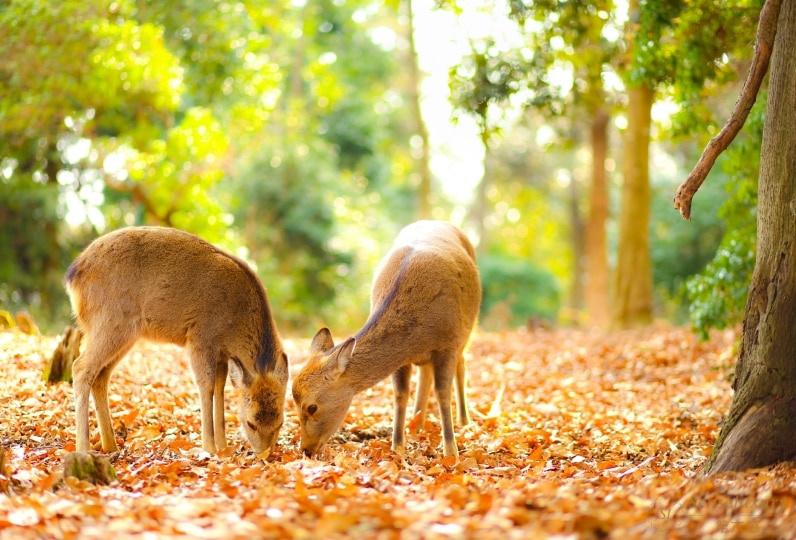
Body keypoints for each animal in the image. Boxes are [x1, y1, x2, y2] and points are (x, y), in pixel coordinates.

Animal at [62, 226, 288, 454]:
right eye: (251, 423)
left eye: (280, 422)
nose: (264, 455)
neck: (234, 326)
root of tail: (73, 275)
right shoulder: (200, 337)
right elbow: (206, 385)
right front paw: (210, 448)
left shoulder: (222, 353)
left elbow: (220, 388)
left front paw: (224, 448)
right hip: (110, 321)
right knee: (80, 367)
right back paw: (83, 449)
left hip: (122, 333)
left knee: (101, 375)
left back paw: (111, 446)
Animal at [292, 219, 478, 460]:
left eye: (312, 407)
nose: (305, 449)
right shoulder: (402, 360)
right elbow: (400, 394)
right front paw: (397, 447)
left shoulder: (448, 343)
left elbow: (443, 394)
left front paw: (451, 452)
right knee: (425, 374)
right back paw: (417, 424)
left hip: (467, 331)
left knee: (461, 366)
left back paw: (464, 421)